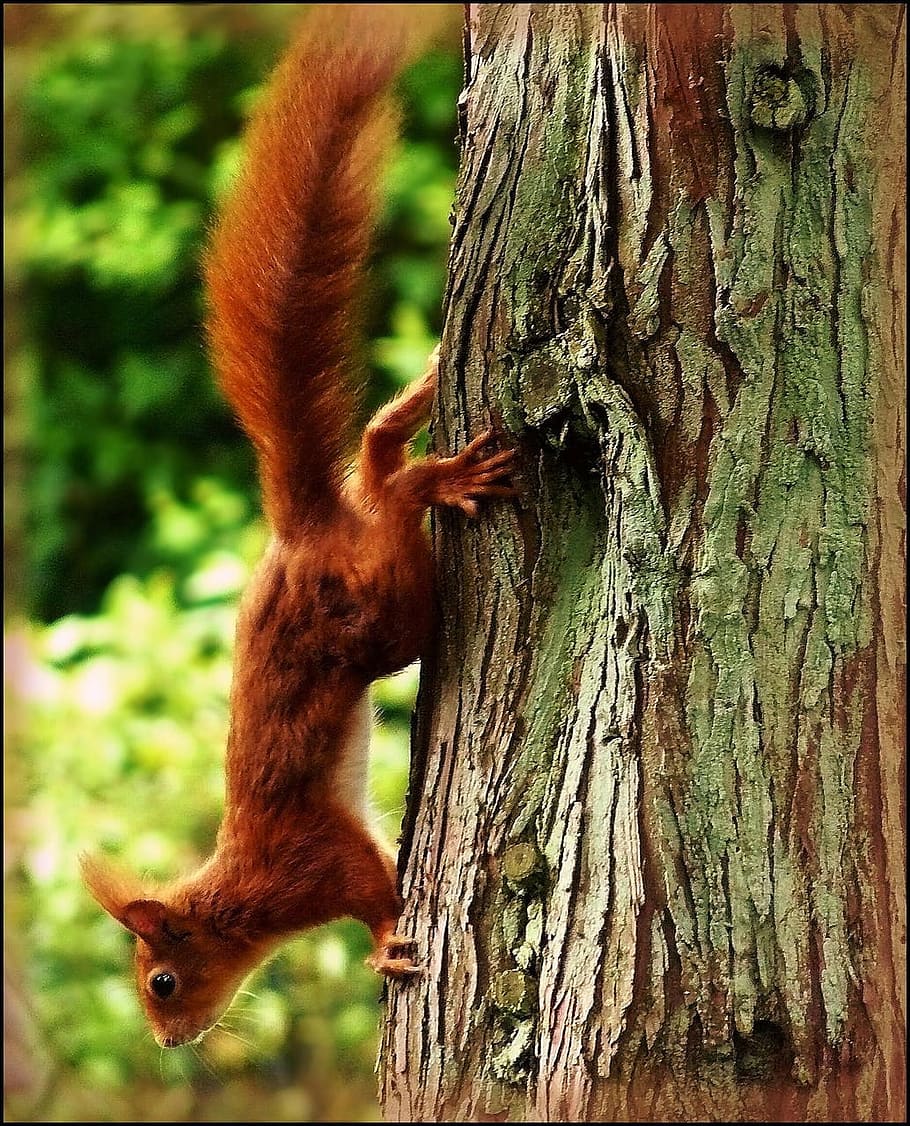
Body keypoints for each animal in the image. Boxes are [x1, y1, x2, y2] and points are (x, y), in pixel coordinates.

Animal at [80, 4, 515, 1050]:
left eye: (160, 981)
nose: (167, 1044)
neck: (239, 898)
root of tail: (301, 528)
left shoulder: (314, 865)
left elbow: (377, 890)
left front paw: (388, 948)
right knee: (372, 453)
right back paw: (419, 411)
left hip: (381, 616)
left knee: (390, 503)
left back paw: (435, 478)